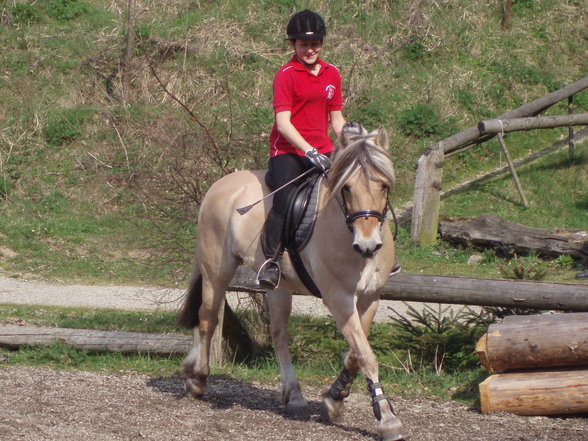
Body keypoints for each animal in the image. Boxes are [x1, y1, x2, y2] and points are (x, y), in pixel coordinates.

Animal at [180, 122, 408, 438]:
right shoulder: (338, 298)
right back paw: (198, 378)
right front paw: (387, 419)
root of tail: (220, 185)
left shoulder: (370, 297)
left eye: (384, 185)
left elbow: (355, 353)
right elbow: (365, 354)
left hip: (279, 287)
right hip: (217, 269)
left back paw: (294, 396)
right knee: (208, 318)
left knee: (279, 335)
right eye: (346, 188)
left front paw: (334, 399)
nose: (368, 245)